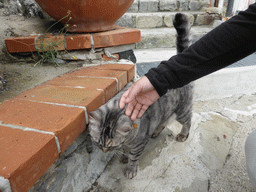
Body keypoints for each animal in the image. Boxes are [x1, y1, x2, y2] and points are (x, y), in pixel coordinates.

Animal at [89, 13, 193, 178]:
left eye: (110, 145)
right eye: (98, 142)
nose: (104, 151)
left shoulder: (138, 144)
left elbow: (133, 156)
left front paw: (130, 168)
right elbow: (125, 150)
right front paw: (123, 156)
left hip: (182, 110)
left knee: (188, 121)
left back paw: (183, 134)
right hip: (165, 112)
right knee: (163, 121)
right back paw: (155, 132)